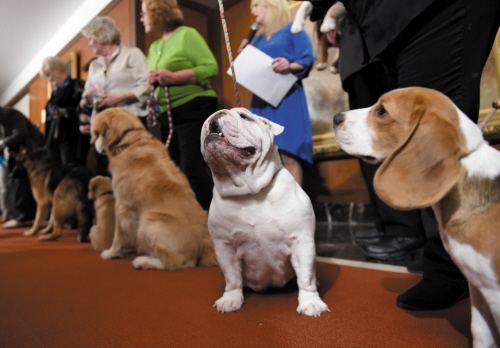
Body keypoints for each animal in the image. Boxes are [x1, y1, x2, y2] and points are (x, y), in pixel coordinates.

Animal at [91, 107, 216, 270]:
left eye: (97, 133)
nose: (93, 144)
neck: (130, 141)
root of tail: (203, 243)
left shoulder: (122, 205)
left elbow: (119, 235)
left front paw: (111, 253)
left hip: (149, 221)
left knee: (176, 262)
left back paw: (143, 261)